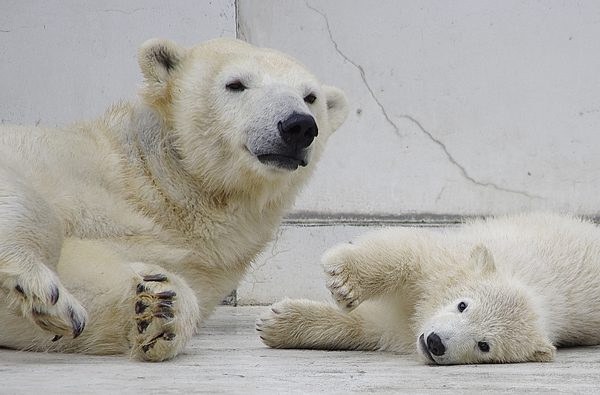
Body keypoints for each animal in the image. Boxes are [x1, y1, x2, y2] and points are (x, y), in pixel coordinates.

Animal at [0, 38, 346, 364]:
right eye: (235, 84)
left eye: (310, 97)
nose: (298, 125)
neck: (161, 185)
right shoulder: (67, 156)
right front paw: (40, 285)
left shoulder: (201, 259)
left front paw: (159, 306)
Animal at [260, 213, 600, 366]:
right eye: (463, 305)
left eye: (484, 346)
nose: (436, 342)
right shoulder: (454, 258)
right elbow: (409, 250)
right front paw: (344, 281)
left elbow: (372, 327)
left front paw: (277, 324)